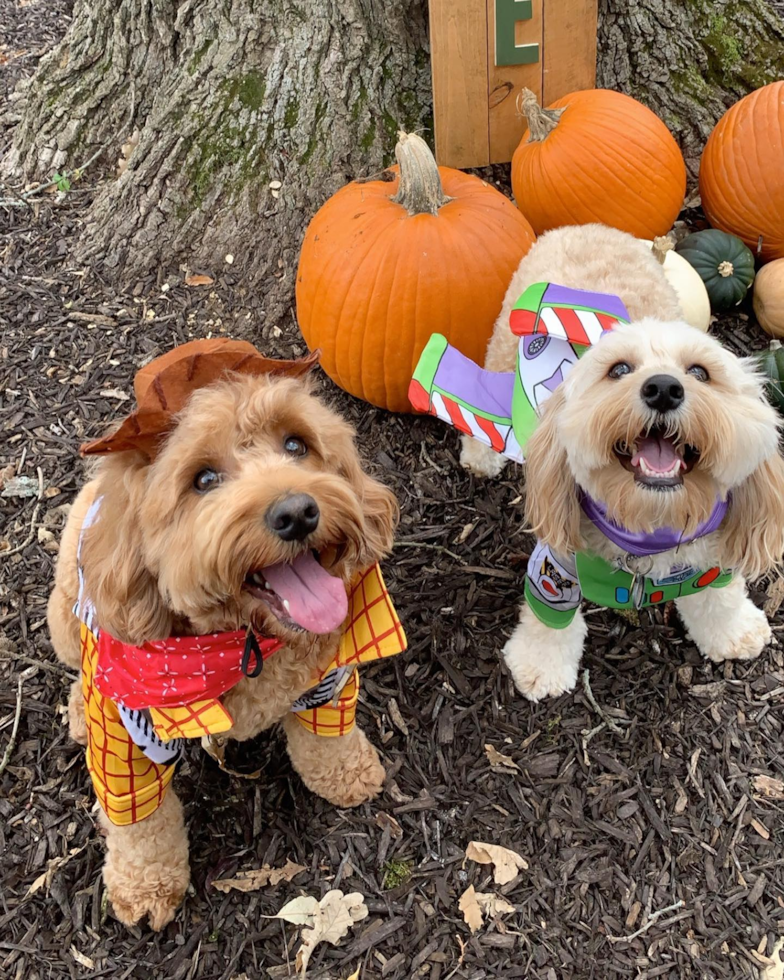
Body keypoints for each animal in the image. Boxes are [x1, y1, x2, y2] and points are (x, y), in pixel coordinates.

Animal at [48, 340, 402, 932]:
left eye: (296, 444)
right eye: (204, 479)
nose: (297, 511)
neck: (241, 644)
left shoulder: (327, 677)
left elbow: (327, 737)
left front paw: (348, 775)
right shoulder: (128, 731)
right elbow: (139, 821)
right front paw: (145, 887)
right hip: (66, 611)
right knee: (79, 671)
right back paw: (77, 708)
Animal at [462, 226, 784, 700]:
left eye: (700, 372)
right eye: (618, 370)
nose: (664, 388)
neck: (649, 524)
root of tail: (587, 227)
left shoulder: (712, 547)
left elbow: (718, 594)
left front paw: (734, 631)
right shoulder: (555, 565)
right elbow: (549, 621)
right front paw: (540, 666)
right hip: (503, 349)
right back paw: (480, 454)